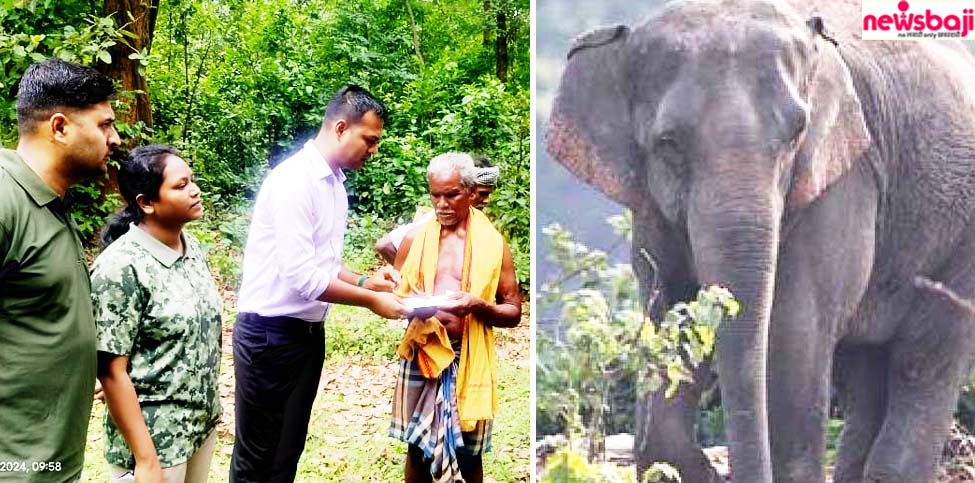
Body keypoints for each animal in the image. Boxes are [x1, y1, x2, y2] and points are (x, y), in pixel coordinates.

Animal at [544, 0, 975, 483]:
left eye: (796, 135)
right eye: (668, 144)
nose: (726, 469)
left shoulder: (841, 179)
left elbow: (795, 328)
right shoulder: (650, 206)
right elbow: (671, 308)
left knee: (925, 357)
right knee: (864, 370)